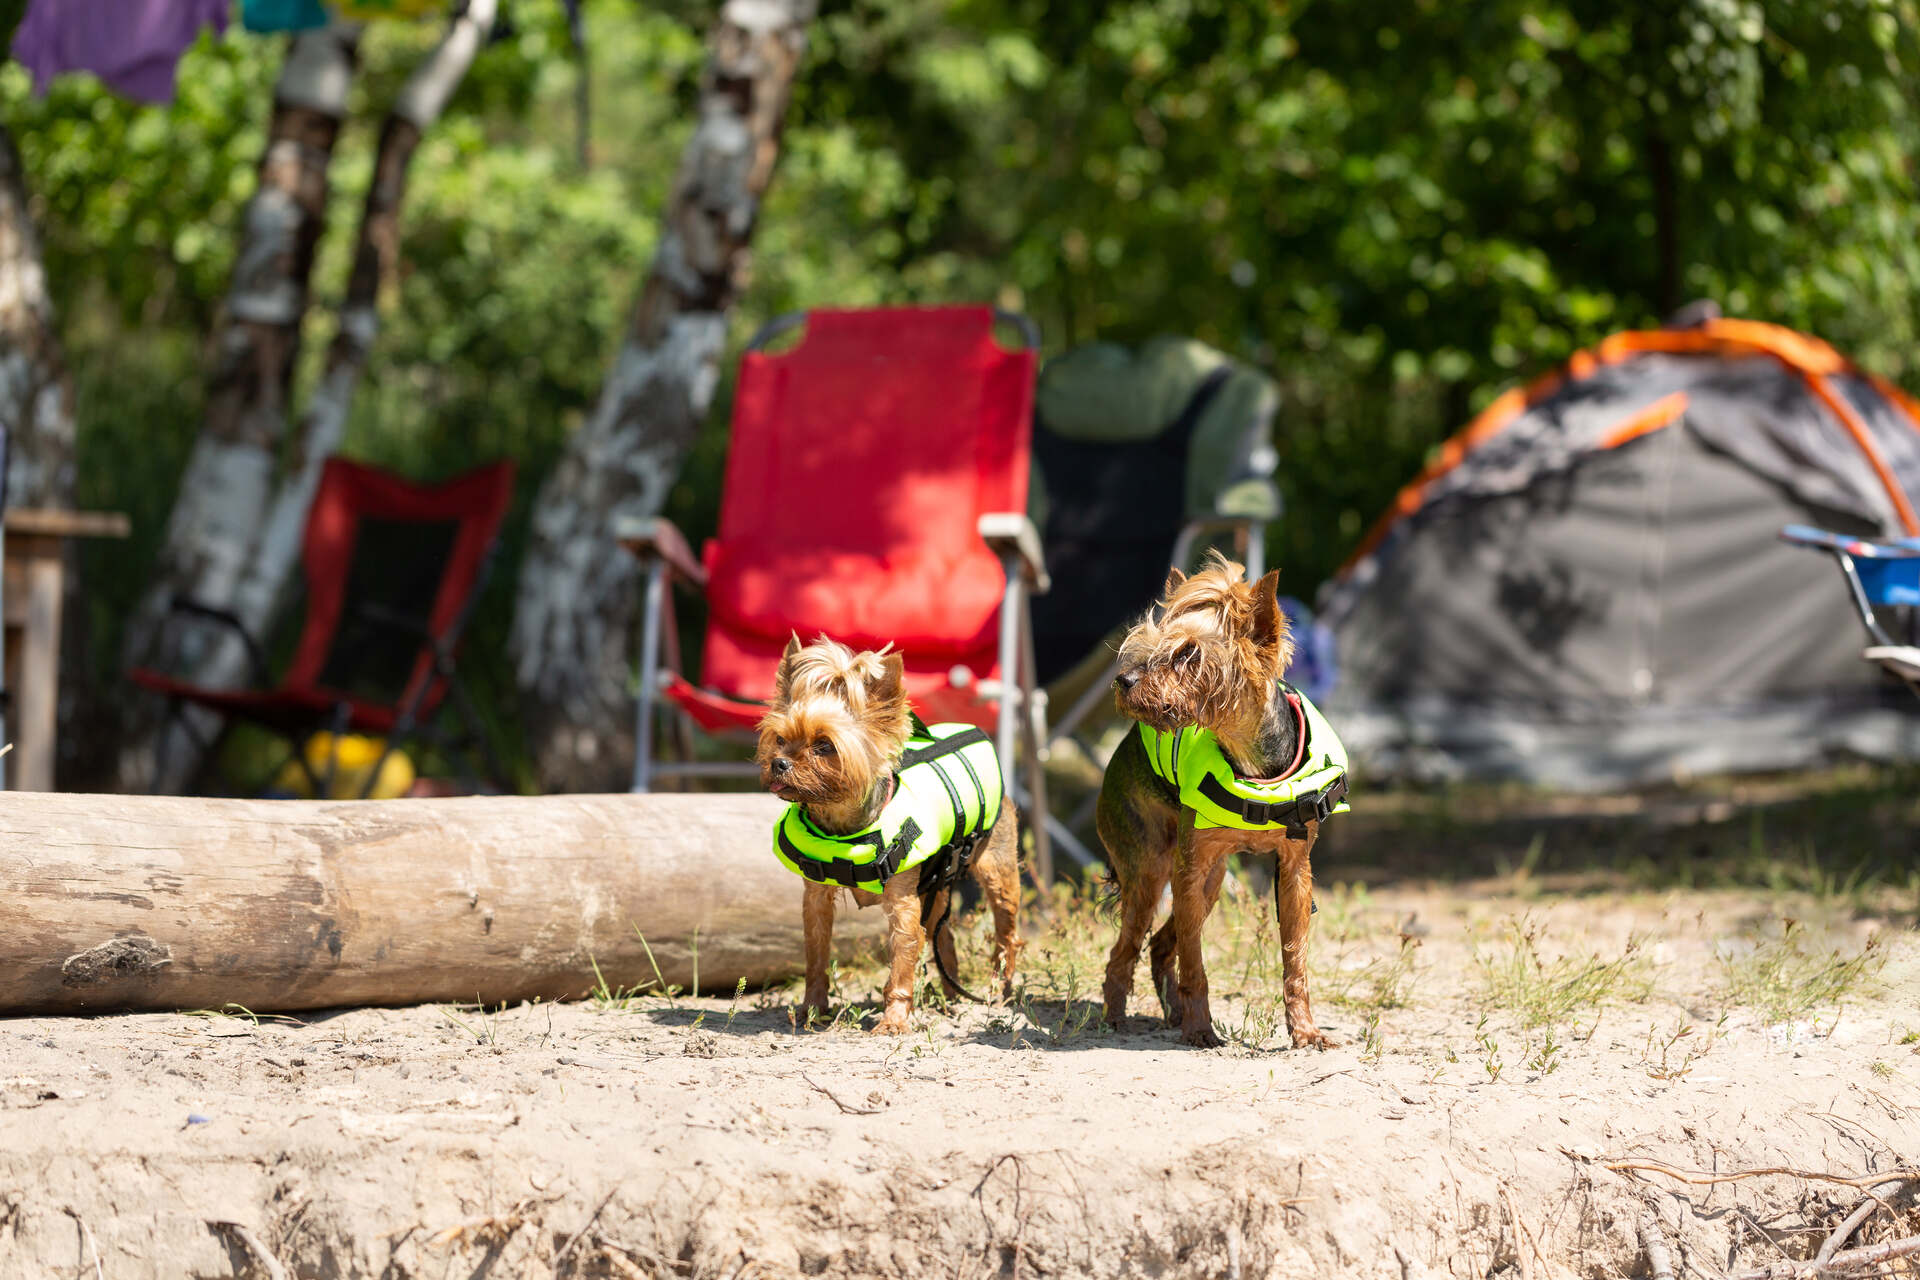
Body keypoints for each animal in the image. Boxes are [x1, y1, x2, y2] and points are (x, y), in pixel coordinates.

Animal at [752, 637, 1029, 1036]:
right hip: (937, 886)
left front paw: (894, 1020)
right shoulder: (816, 899)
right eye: (779, 739)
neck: (845, 830)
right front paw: (812, 1010)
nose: (779, 763)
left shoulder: (903, 904)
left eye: (824, 746)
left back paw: (998, 988)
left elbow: (901, 962)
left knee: (1006, 932)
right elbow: (816, 957)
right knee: (943, 933)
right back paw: (950, 996)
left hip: (997, 871)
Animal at [1098, 556, 1351, 1043]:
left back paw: (1170, 1012)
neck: (1254, 766)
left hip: (1212, 880)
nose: (1123, 680)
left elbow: (1295, 962)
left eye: (1187, 654)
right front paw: (1200, 1029)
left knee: (1160, 945)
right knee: (1127, 949)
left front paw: (1305, 1032)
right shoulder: (1190, 869)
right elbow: (1195, 964)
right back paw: (1115, 1019)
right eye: (1147, 645)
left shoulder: (1295, 872)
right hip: (1150, 873)